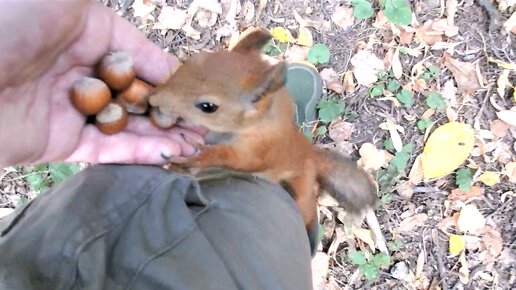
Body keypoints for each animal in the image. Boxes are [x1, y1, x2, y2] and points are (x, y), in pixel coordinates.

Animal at [147, 28, 376, 228]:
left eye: (208, 107)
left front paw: (203, 156)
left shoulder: (261, 148)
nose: (154, 99)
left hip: (302, 181)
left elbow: (242, 160)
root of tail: (308, 152)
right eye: (186, 65)